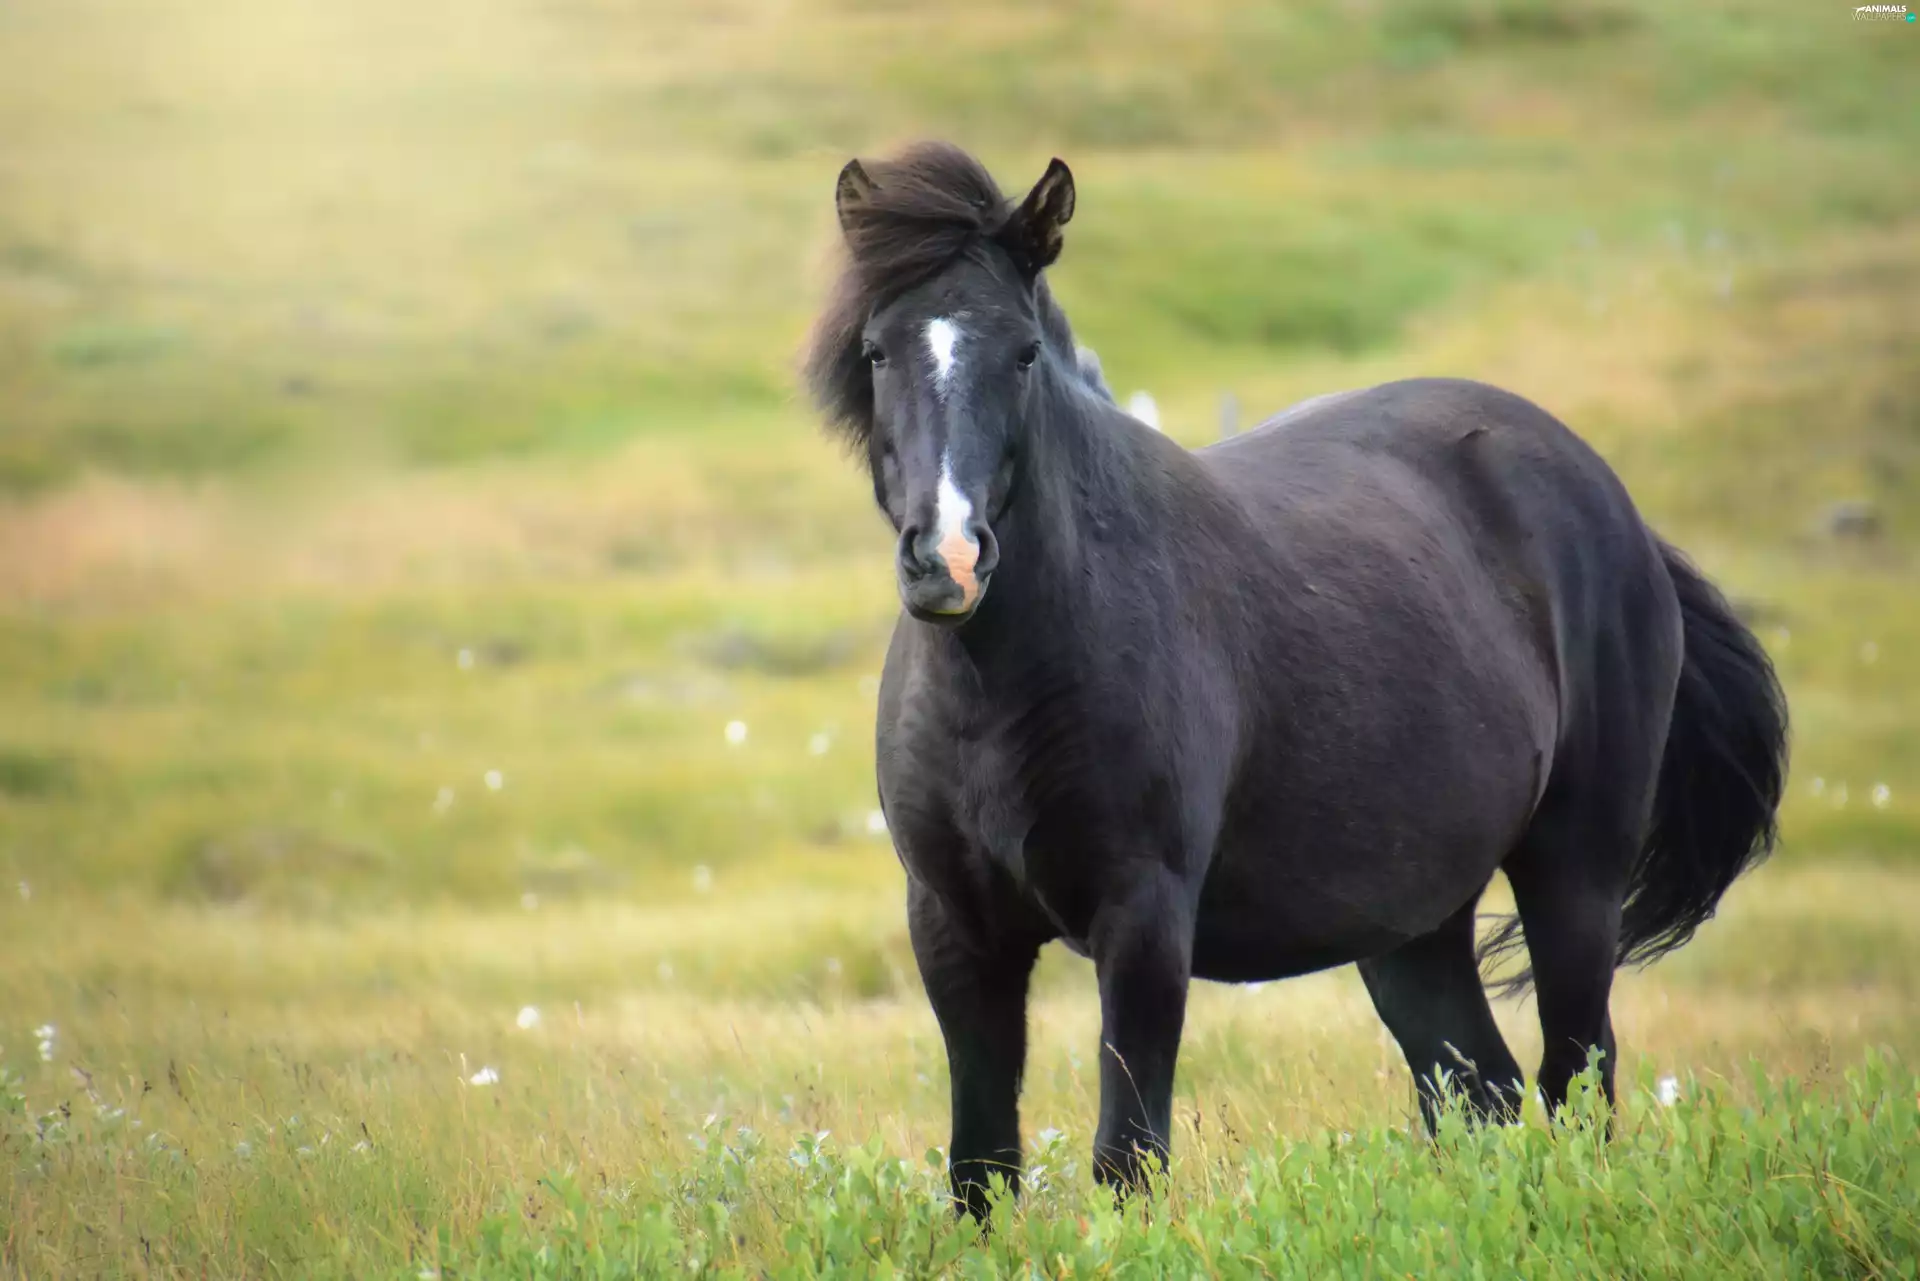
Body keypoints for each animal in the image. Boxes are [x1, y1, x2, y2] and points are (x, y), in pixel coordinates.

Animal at [801, 141, 1788, 1220]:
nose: (947, 558)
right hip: (1414, 925)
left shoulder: (1144, 921)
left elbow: (1126, 1158)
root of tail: (1616, 505)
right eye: (878, 350)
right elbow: (980, 1169)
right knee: (1480, 1091)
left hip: (1574, 873)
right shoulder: (953, 928)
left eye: (1021, 353)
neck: (1002, 686)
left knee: (1577, 1080)